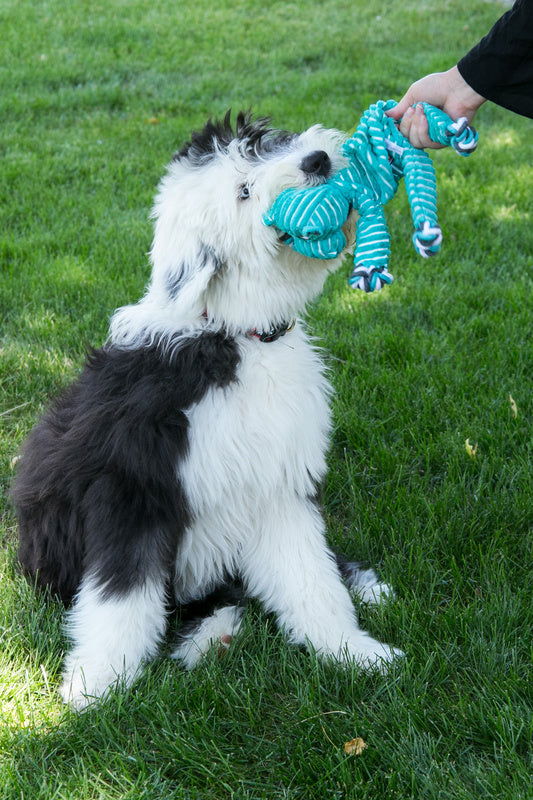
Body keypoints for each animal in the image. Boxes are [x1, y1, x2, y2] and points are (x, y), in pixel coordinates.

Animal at [12, 111, 402, 708]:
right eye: (242, 192)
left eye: (268, 143)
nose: (316, 160)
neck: (235, 337)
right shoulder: (132, 490)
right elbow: (120, 599)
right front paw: (95, 687)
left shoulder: (277, 486)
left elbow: (309, 578)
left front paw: (352, 651)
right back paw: (207, 638)